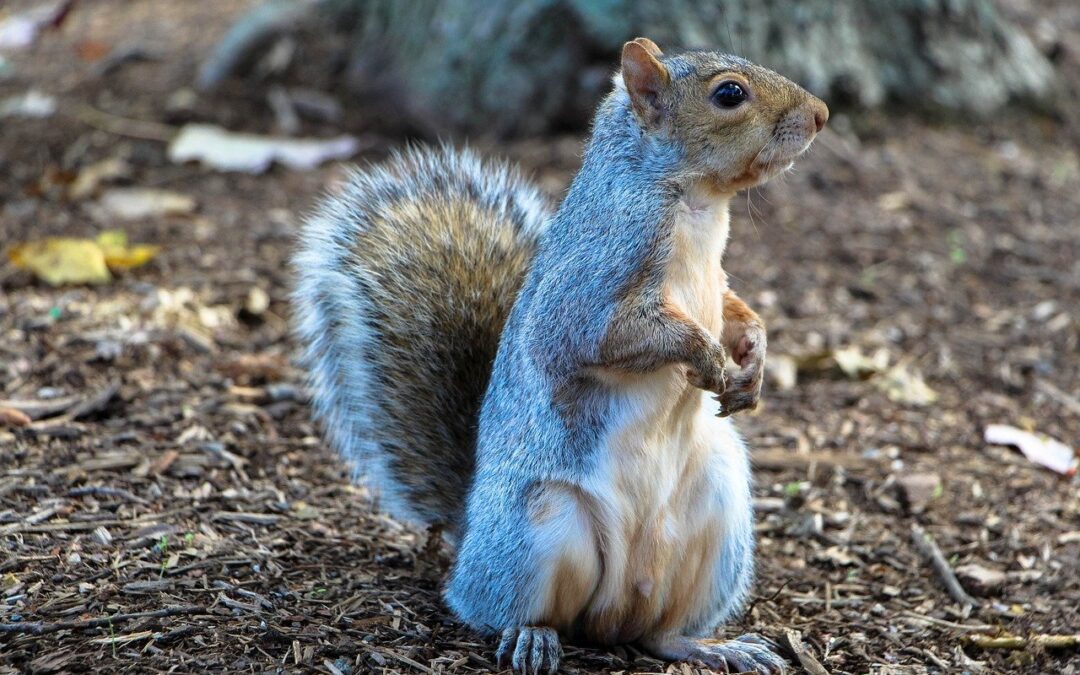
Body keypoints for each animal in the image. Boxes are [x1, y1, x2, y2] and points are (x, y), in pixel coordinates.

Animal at [293, 38, 825, 673]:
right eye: (728, 94)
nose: (821, 114)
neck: (697, 204)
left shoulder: (715, 282)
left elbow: (733, 309)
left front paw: (754, 359)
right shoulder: (594, 280)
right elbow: (603, 336)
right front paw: (710, 357)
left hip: (719, 517)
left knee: (660, 635)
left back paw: (713, 646)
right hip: (540, 528)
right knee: (506, 610)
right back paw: (532, 636)